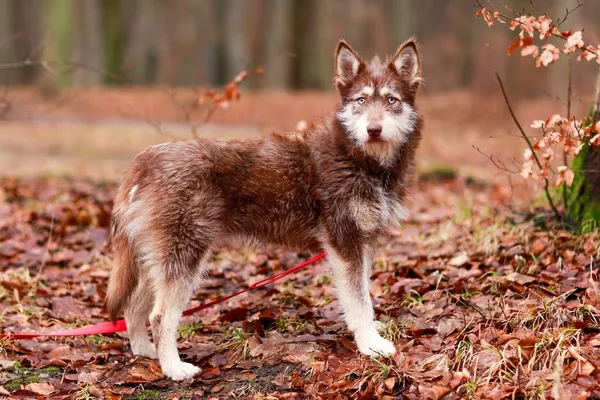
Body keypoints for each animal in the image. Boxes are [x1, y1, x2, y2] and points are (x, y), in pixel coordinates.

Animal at [105, 38, 424, 382]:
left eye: (391, 99)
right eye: (361, 100)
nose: (373, 129)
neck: (359, 158)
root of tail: (143, 160)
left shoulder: (361, 244)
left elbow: (363, 293)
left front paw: (372, 331)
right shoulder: (345, 243)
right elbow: (358, 301)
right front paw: (371, 345)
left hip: (157, 260)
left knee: (134, 309)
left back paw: (144, 352)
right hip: (185, 257)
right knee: (160, 315)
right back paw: (174, 369)